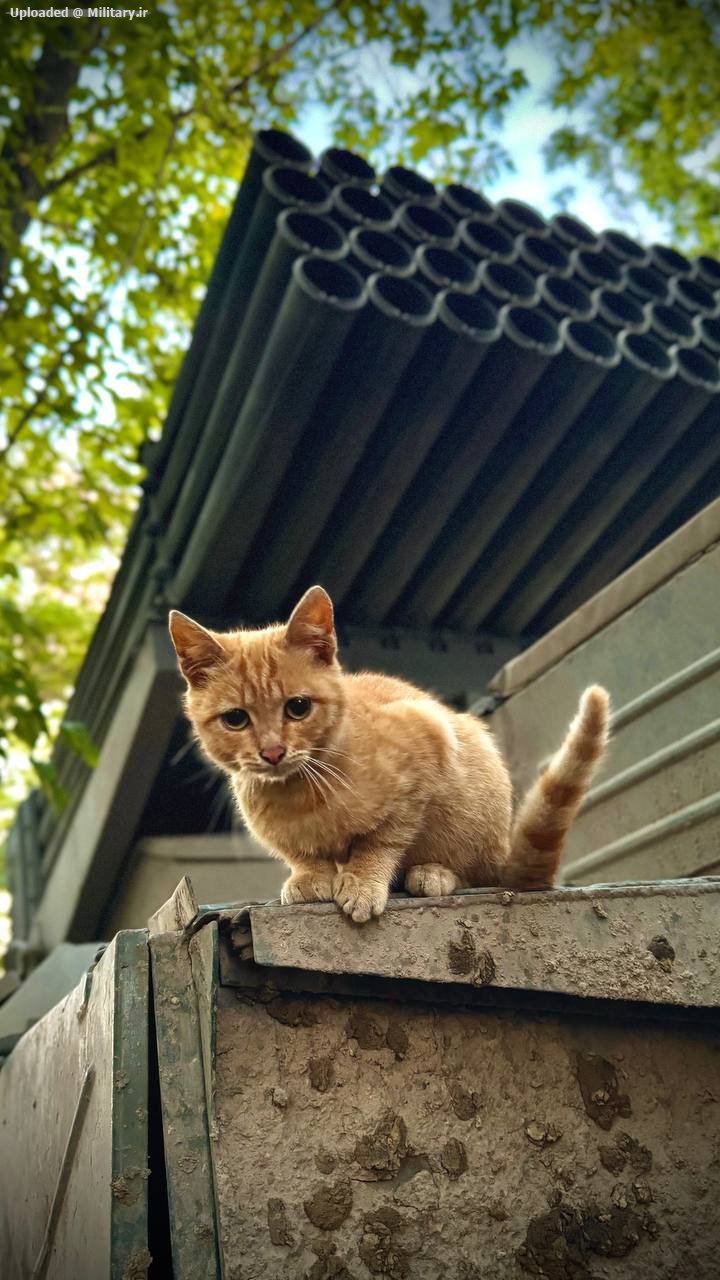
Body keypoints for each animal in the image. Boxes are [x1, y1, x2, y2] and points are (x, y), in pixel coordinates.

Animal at [167, 586, 604, 926]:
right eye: (235, 718)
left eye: (298, 708)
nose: (272, 751)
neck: (305, 789)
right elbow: (303, 854)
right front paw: (310, 875)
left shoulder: (426, 744)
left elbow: (382, 839)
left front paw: (363, 881)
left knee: (480, 872)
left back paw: (433, 873)